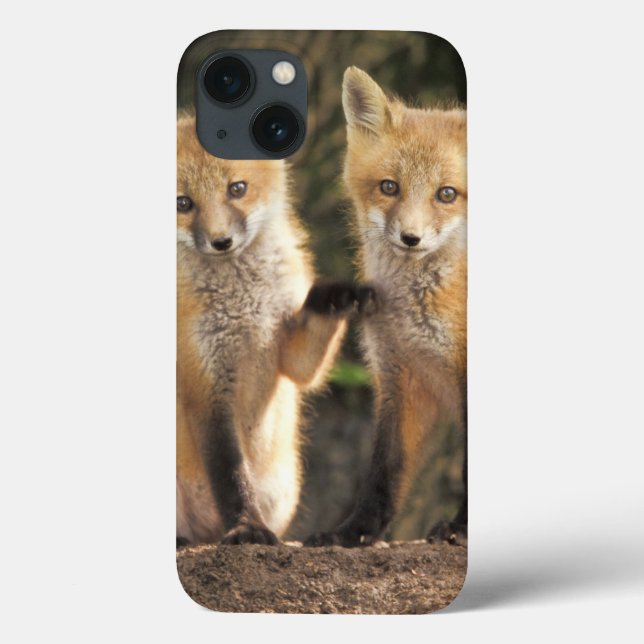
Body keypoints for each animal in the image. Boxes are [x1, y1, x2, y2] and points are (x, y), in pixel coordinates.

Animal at [176, 114, 373, 546]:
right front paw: (246, 526)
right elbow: (232, 475)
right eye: (182, 203)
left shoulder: (289, 353)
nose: (221, 242)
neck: (243, 303)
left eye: (237, 189)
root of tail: (203, 533)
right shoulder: (205, 384)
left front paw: (337, 295)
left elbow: (306, 359)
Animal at [306, 67, 467, 547]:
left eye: (447, 194)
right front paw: (354, 532)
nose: (411, 238)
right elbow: (384, 469)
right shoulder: (398, 377)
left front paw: (459, 529)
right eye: (389, 187)